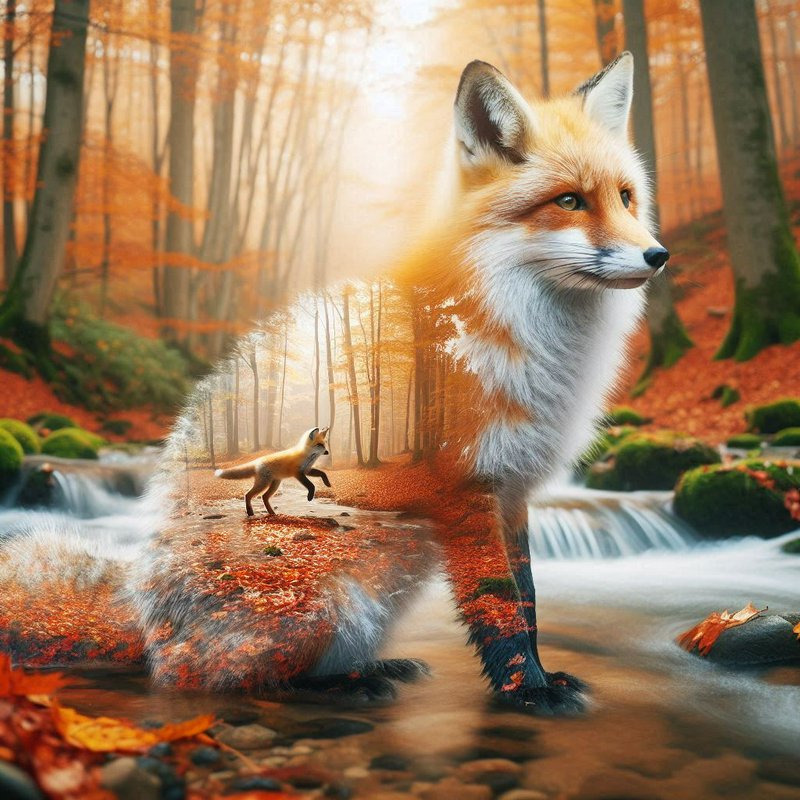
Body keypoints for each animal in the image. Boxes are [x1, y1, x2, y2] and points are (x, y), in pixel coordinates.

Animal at [0, 53, 668, 716]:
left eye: (626, 198)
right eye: (570, 201)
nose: (658, 255)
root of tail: (144, 616)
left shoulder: (513, 490)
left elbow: (529, 598)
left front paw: (542, 675)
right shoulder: (466, 487)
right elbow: (499, 603)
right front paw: (525, 688)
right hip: (329, 597)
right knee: (228, 676)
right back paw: (341, 683)